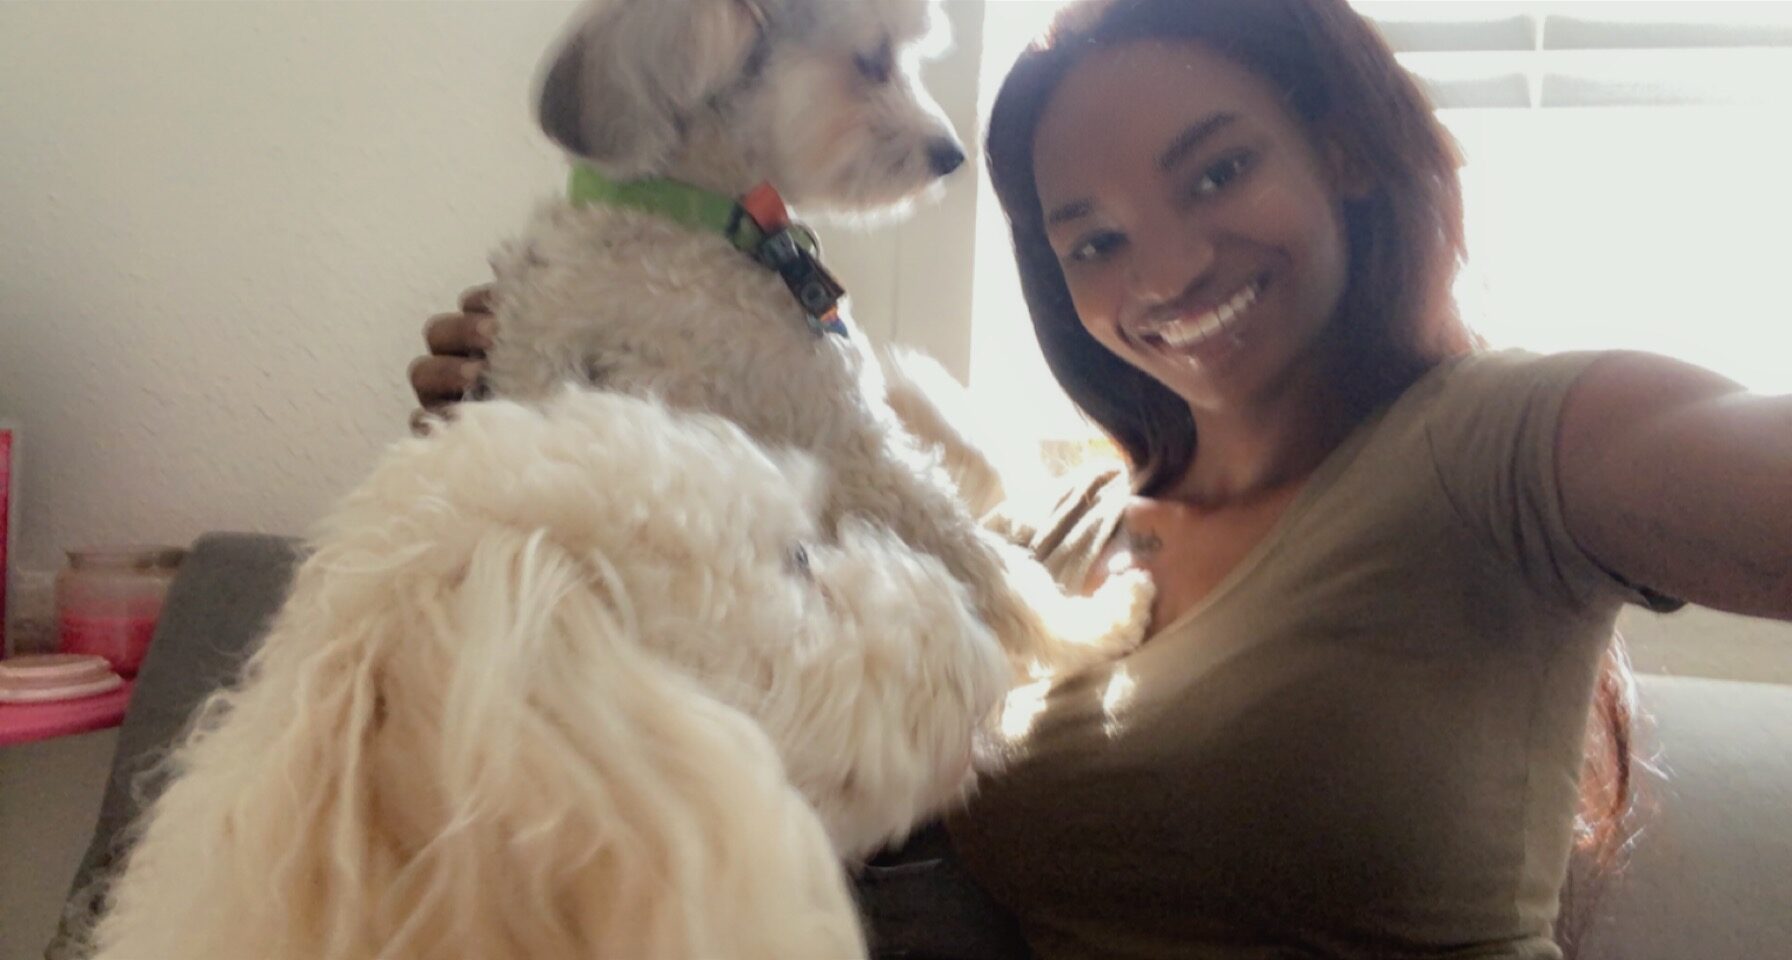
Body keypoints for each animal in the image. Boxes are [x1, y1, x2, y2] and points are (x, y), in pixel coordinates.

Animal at [487, 0, 1146, 677]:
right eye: (873, 60)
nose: (951, 154)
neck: (691, 210)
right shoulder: (852, 440)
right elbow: (984, 561)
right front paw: (1091, 628)